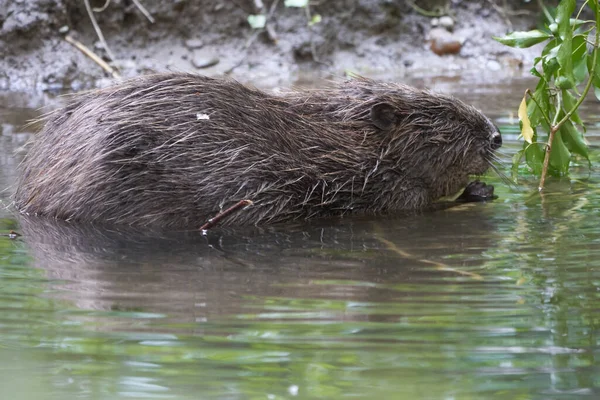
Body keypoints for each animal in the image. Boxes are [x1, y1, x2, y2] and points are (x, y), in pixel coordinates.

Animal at [12, 73, 502, 227]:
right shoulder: (378, 188)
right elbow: (418, 206)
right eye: (448, 116)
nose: (497, 136)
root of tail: (24, 198)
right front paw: (478, 192)